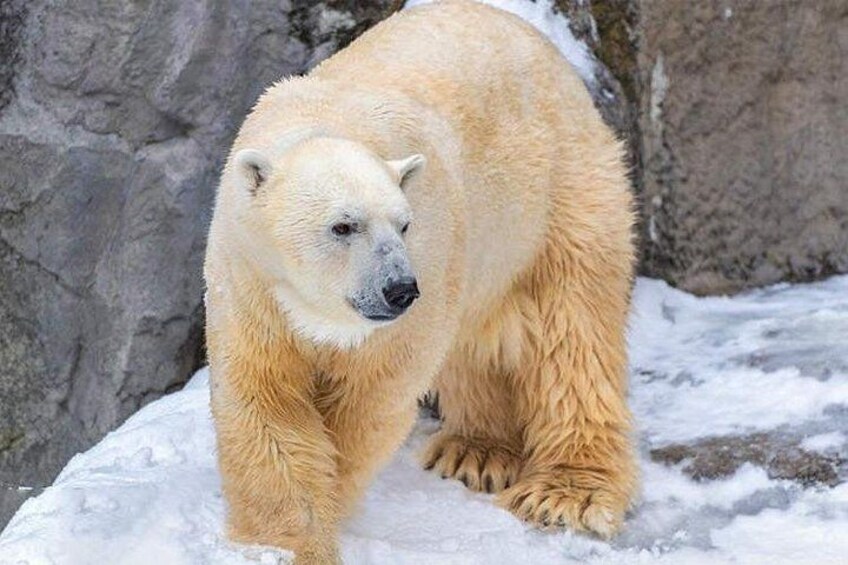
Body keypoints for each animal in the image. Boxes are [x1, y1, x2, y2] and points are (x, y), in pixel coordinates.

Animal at [204, 1, 637, 563]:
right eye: (343, 225)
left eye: (403, 223)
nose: (399, 290)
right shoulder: (251, 284)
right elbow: (265, 401)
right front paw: (283, 543)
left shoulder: (424, 265)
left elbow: (369, 398)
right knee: (474, 340)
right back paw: (475, 451)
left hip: (559, 194)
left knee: (573, 331)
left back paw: (566, 493)